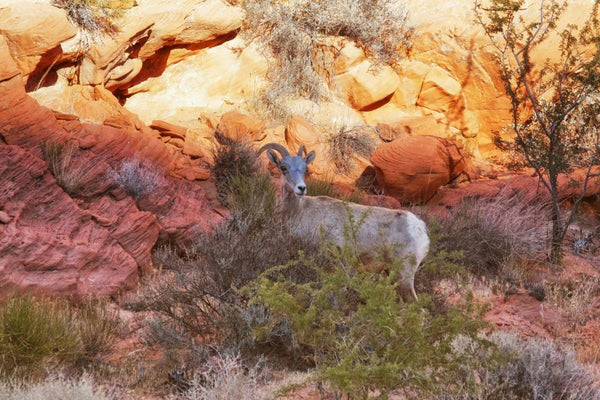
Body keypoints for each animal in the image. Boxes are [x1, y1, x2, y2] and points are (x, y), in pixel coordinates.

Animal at [260, 143, 428, 300]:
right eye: (283, 168)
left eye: (305, 169)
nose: (301, 188)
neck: (300, 211)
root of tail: (420, 228)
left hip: (404, 276)